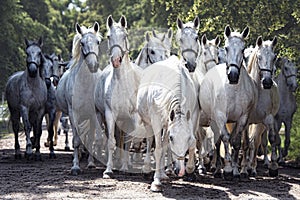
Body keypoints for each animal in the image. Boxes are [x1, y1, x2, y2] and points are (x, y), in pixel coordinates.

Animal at [54, 22, 101, 175]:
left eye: (98, 42)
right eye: (82, 43)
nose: (93, 65)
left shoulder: (93, 115)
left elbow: (91, 139)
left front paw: (91, 163)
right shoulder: (73, 114)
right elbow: (75, 140)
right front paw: (75, 166)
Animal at [138, 55, 198, 191]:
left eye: (187, 138)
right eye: (172, 138)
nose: (180, 171)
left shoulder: (190, 117)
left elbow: (193, 142)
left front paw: (190, 167)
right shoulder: (156, 121)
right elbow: (158, 149)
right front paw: (156, 182)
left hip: (166, 123)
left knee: (164, 144)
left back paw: (164, 174)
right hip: (148, 123)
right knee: (150, 141)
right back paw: (147, 169)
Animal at [199, 25, 255, 180]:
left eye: (243, 49)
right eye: (226, 47)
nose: (233, 75)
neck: (233, 89)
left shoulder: (242, 118)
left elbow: (235, 142)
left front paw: (236, 170)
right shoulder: (220, 116)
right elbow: (224, 138)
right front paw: (228, 168)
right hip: (214, 120)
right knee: (217, 142)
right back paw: (218, 169)